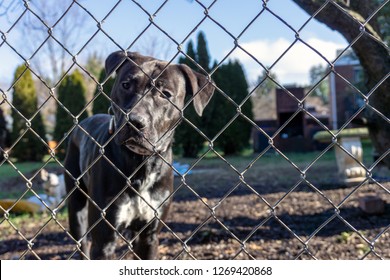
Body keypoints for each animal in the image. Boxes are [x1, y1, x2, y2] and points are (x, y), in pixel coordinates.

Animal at [65, 51, 215, 260]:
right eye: (126, 84)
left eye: (165, 94)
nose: (134, 121)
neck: (141, 164)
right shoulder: (104, 241)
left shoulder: (149, 237)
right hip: (76, 203)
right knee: (82, 241)